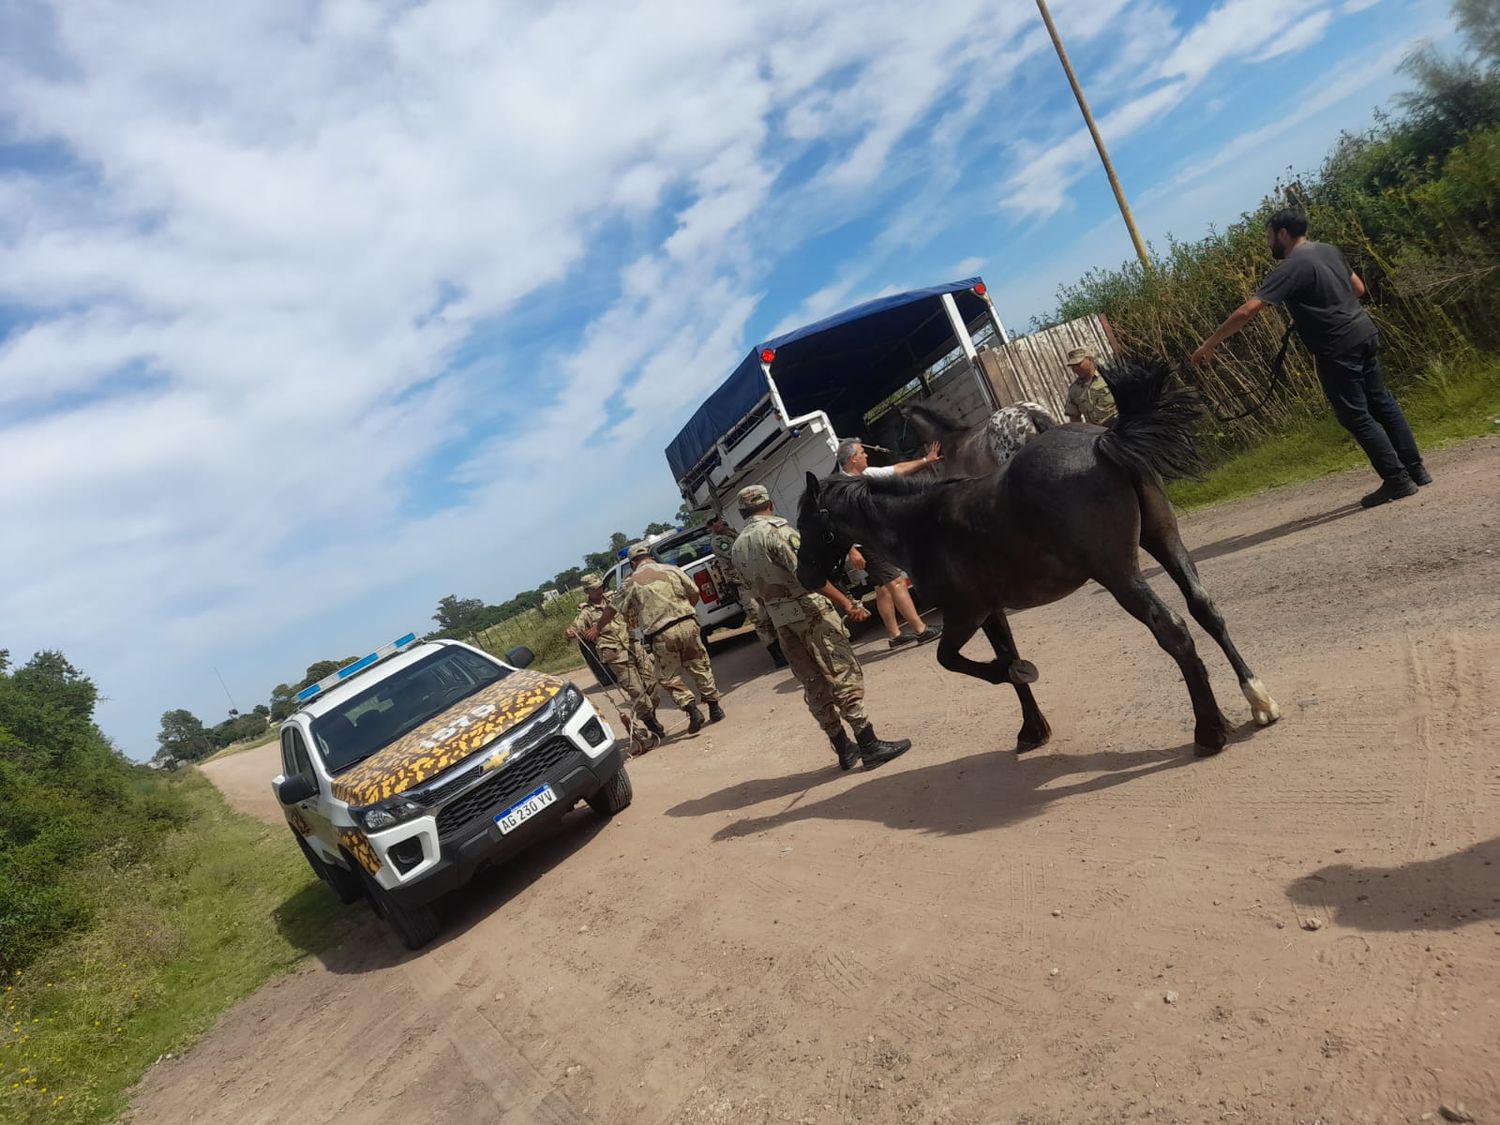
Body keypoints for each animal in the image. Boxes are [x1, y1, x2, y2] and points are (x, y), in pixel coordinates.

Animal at [798, 366, 1278, 762]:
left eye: (806, 523)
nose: (804, 575)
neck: (920, 523)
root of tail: (1103, 440)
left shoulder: (965, 614)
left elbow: (952, 659)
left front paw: (1014, 676)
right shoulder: (991, 611)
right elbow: (1005, 657)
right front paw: (1032, 729)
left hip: (1119, 574)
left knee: (1174, 630)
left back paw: (1210, 732)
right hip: (1164, 541)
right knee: (1204, 608)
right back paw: (1259, 700)